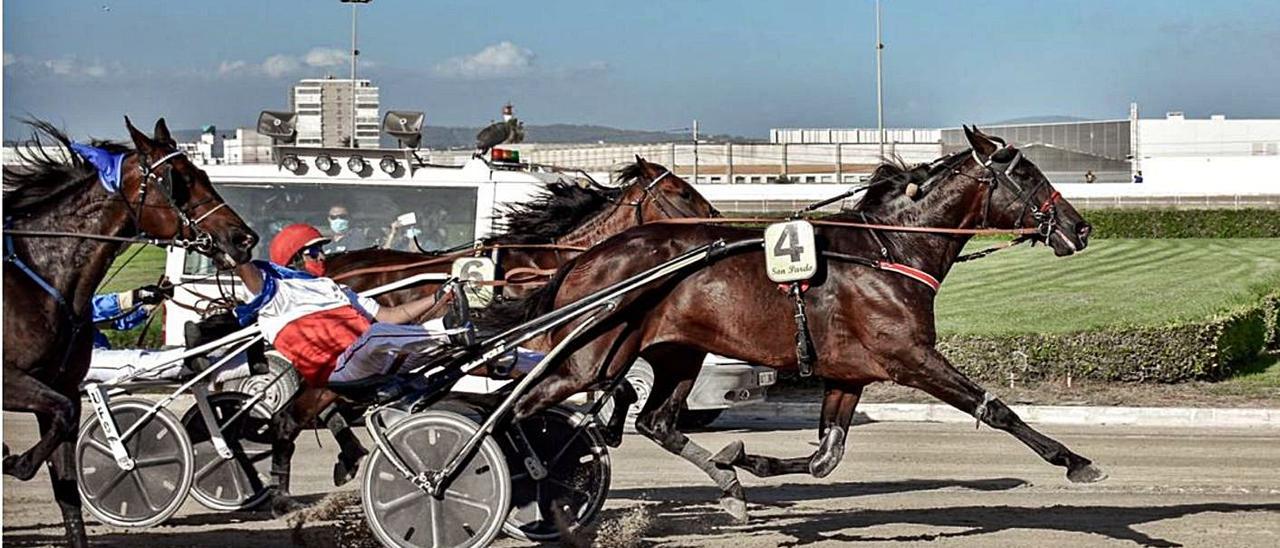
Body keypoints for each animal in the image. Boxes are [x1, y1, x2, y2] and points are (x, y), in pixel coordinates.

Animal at [1, 117, 257, 545]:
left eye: (203, 172)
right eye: (180, 179)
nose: (243, 238)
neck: (39, 274)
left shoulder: (60, 389)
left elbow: (68, 490)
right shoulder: (14, 382)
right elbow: (61, 420)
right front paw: (12, 459)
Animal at [264, 154, 721, 514]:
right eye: (681, 192)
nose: (716, 219)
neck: (548, 265)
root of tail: (329, 272)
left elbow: (614, 386)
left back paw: (341, 461)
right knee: (289, 419)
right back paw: (281, 496)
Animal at [504, 125, 1105, 522]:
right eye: (1027, 174)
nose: (1080, 227)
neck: (888, 251)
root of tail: (583, 259)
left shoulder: (848, 373)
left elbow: (824, 458)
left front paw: (747, 459)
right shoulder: (909, 356)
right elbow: (997, 409)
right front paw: (1077, 461)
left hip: (677, 352)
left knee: (656, 421)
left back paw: (727, 486)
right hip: (588, 358)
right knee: (520, 404)